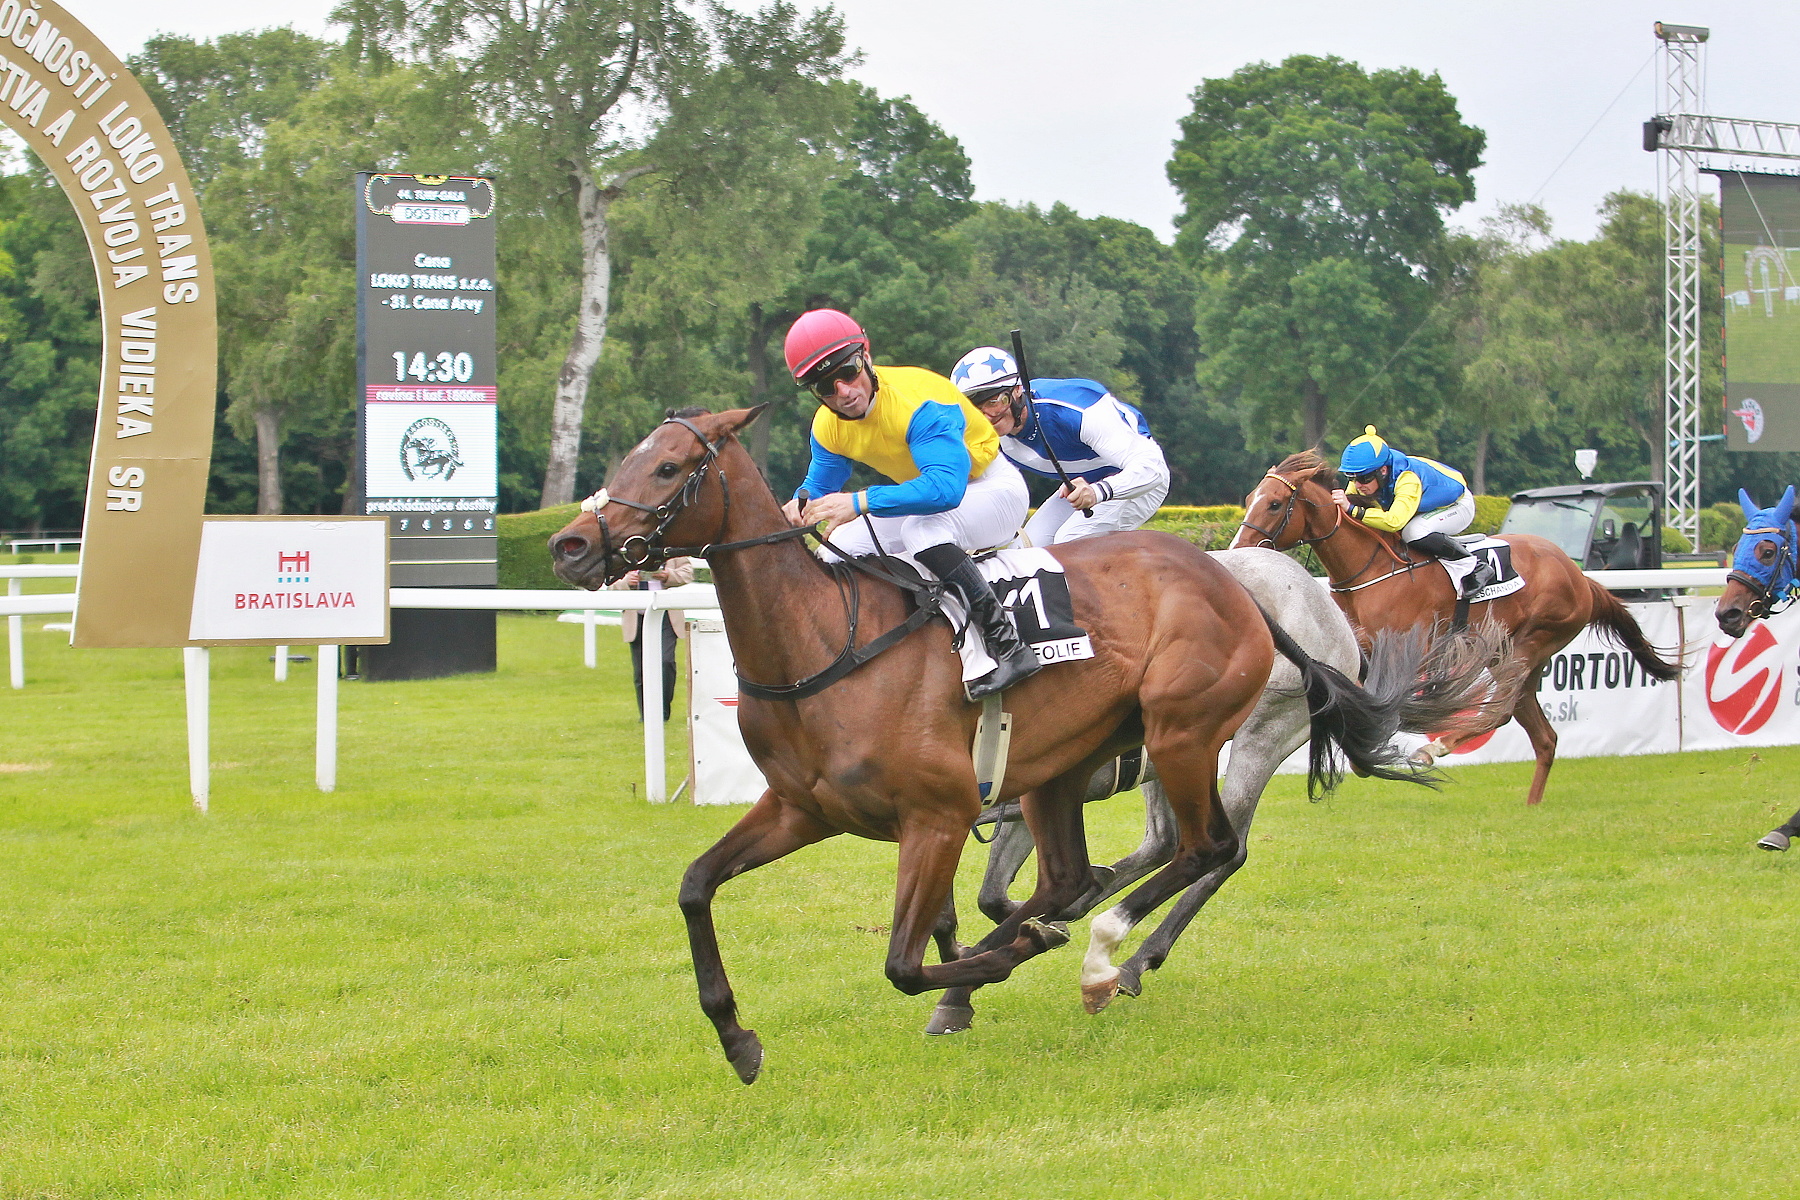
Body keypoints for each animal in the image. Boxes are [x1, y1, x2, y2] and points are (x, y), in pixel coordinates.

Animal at [550, 408, 1461, 1086]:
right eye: (631, 458)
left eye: (669, 469)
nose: (569, 544)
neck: (823, 642)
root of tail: (1253, 591)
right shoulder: (802, 809)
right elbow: (696, 886)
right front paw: (737, 1038)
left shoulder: (940, 814)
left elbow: (906, 960)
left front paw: (988, 971)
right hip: (1079, 763)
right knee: (1093, 870)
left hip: (1198, 733)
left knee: (1210, 850)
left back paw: (1110, 958)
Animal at [1231, 449, 1677, 805]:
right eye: (1250, 500)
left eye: (1274, 504)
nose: (1237, 552)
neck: (1371, 569)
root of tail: (1579, 576)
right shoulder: (1353, 651)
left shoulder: (1411, 650)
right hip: (1507, 654)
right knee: (1542, 734)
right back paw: (1532, 804)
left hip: (1527, 645)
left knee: (1499, 711)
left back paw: (1435, 749)